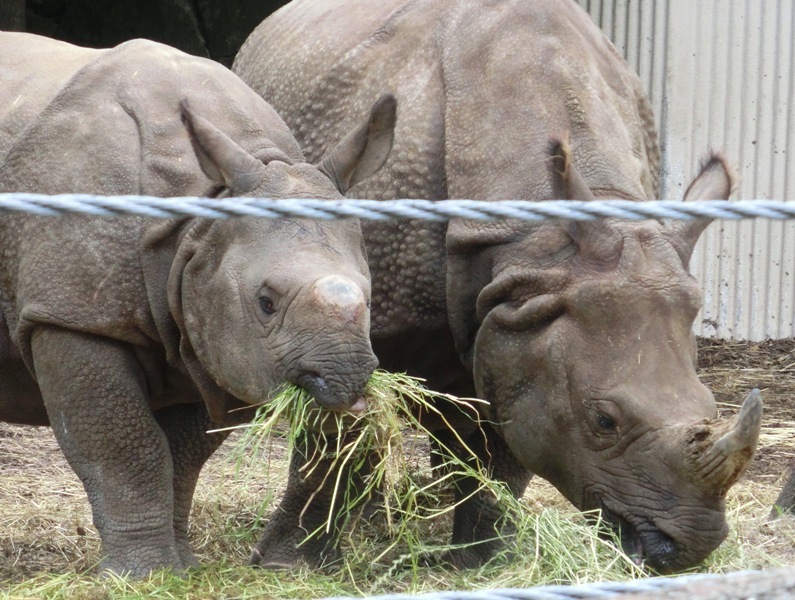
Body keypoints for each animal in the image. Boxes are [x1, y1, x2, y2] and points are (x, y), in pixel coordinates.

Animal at [0, 32, 398, 576]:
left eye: (372, 296)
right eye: (266, 302)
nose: (347, 379)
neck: (197, 218)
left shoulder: (206, 331)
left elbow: (183, 454)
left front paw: (182, 566)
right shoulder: (70, 315)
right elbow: (124, 447)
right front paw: (142, 574)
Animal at [233, 0, 760, 576]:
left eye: (710, 405)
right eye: (604, 421)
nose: (689, 546)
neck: (535, 239)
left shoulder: (527, 305)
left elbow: (505, 432)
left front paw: (483, 561)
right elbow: (338, 421)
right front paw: (288, 566)